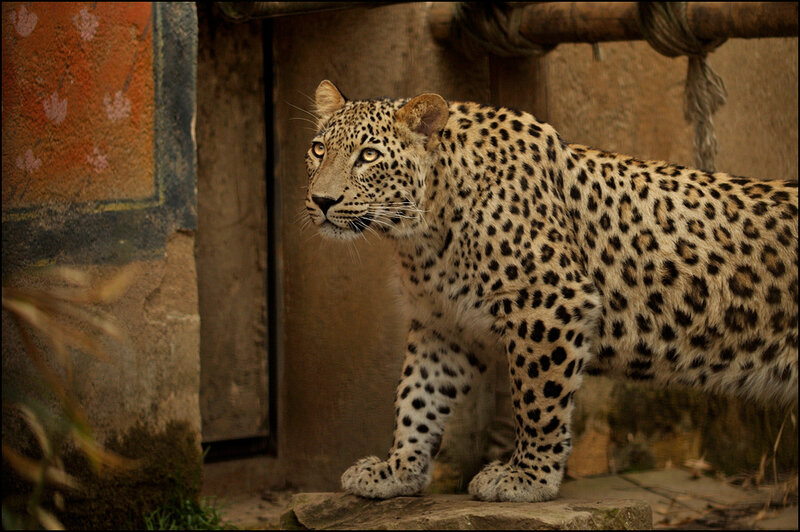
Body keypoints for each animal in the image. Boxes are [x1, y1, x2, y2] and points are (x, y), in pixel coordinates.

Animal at [302, 79, 798, 503]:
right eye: (318, 149)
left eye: (368, 156)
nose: (322, 201)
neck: (422, 231)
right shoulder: (442, 324)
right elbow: (417, 398)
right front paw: (397, 469)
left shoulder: (547, 304)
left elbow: (536, 399)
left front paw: (527, 479)